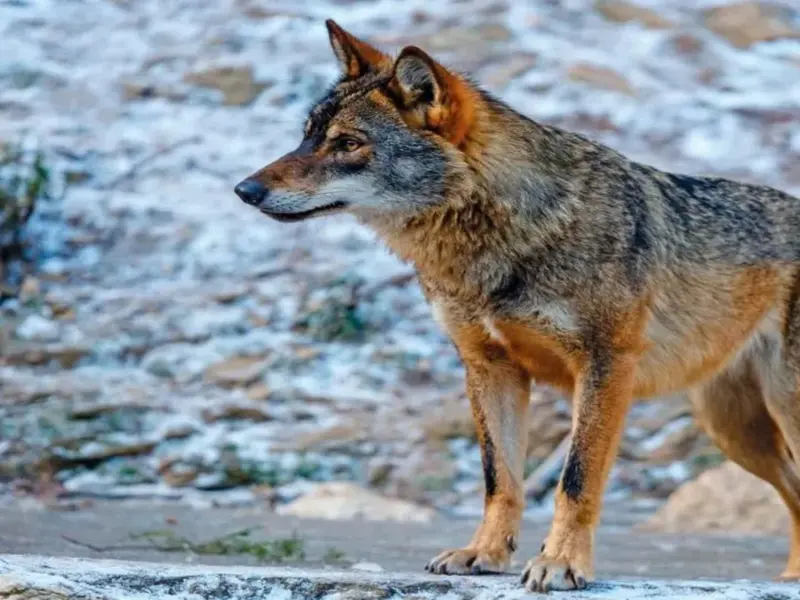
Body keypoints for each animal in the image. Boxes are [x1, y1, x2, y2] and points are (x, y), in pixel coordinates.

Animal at [234, 19, 800, 592]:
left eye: (348, 143)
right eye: (307, 136)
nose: (244, 189)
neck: (504, 237)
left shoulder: (605, 366)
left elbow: (575, 480)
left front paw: (562, 563)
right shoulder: (490, 367)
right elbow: (499, 479)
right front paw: (484, 554)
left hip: (775, 413)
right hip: (734, 431)